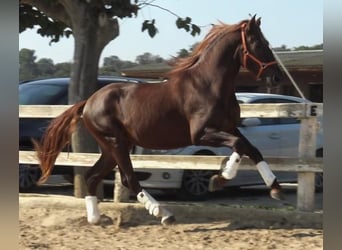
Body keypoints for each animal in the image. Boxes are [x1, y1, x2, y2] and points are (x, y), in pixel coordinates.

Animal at [33, 16, 284, 225]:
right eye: (260, 44)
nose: (277, 77)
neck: (209, 85)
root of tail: (88, 102)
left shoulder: (229, 127)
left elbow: (251, 149)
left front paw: (274, 188)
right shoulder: (201, 134)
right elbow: (240, 146)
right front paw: (220, 179)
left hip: (113, 147)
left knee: (92, 176)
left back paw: (95, 218)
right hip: (116, 143)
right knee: (128, 179)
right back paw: (162, 213)